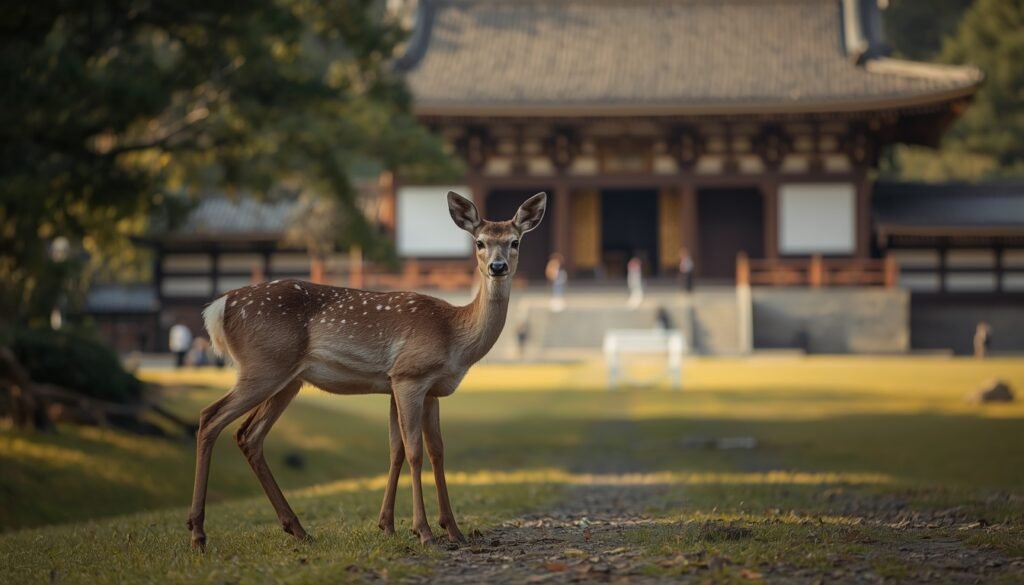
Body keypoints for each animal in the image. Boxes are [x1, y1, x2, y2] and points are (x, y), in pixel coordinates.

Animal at [187, 191, 547, 550]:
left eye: (515, 241)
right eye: (479, 242)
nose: (497, 267)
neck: (454, 336)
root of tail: (218, 307)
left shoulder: (421, 389)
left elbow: (424, 451)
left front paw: (436, 528)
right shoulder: (408, 375)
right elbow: (414, 451)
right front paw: (423, 531)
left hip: (287, 378)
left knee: (248, 435)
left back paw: (297, 529)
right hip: (263, 366)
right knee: (210, 417)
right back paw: (198, 533)